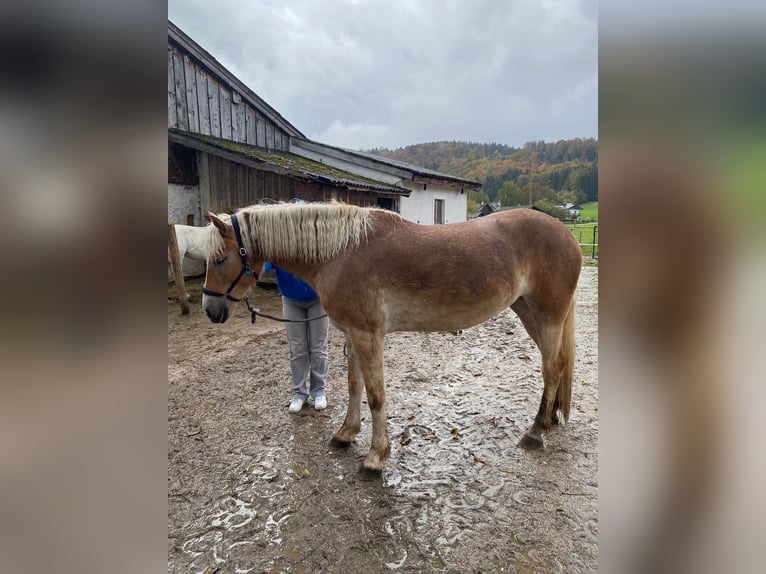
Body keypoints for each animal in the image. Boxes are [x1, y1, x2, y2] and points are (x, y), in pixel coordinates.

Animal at [202, 201, 584, 476]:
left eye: (220, 259)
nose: (211, 310)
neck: (341, 253)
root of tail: (568, 236)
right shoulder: (352, 334)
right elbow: (355, 387)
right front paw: (346, 434)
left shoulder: (368, 335)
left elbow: (375, 395)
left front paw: (375, 458)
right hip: (528, 313)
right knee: (555, 366)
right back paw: (548, 420)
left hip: (548, 316)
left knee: (552, 368)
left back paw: (535, 433)